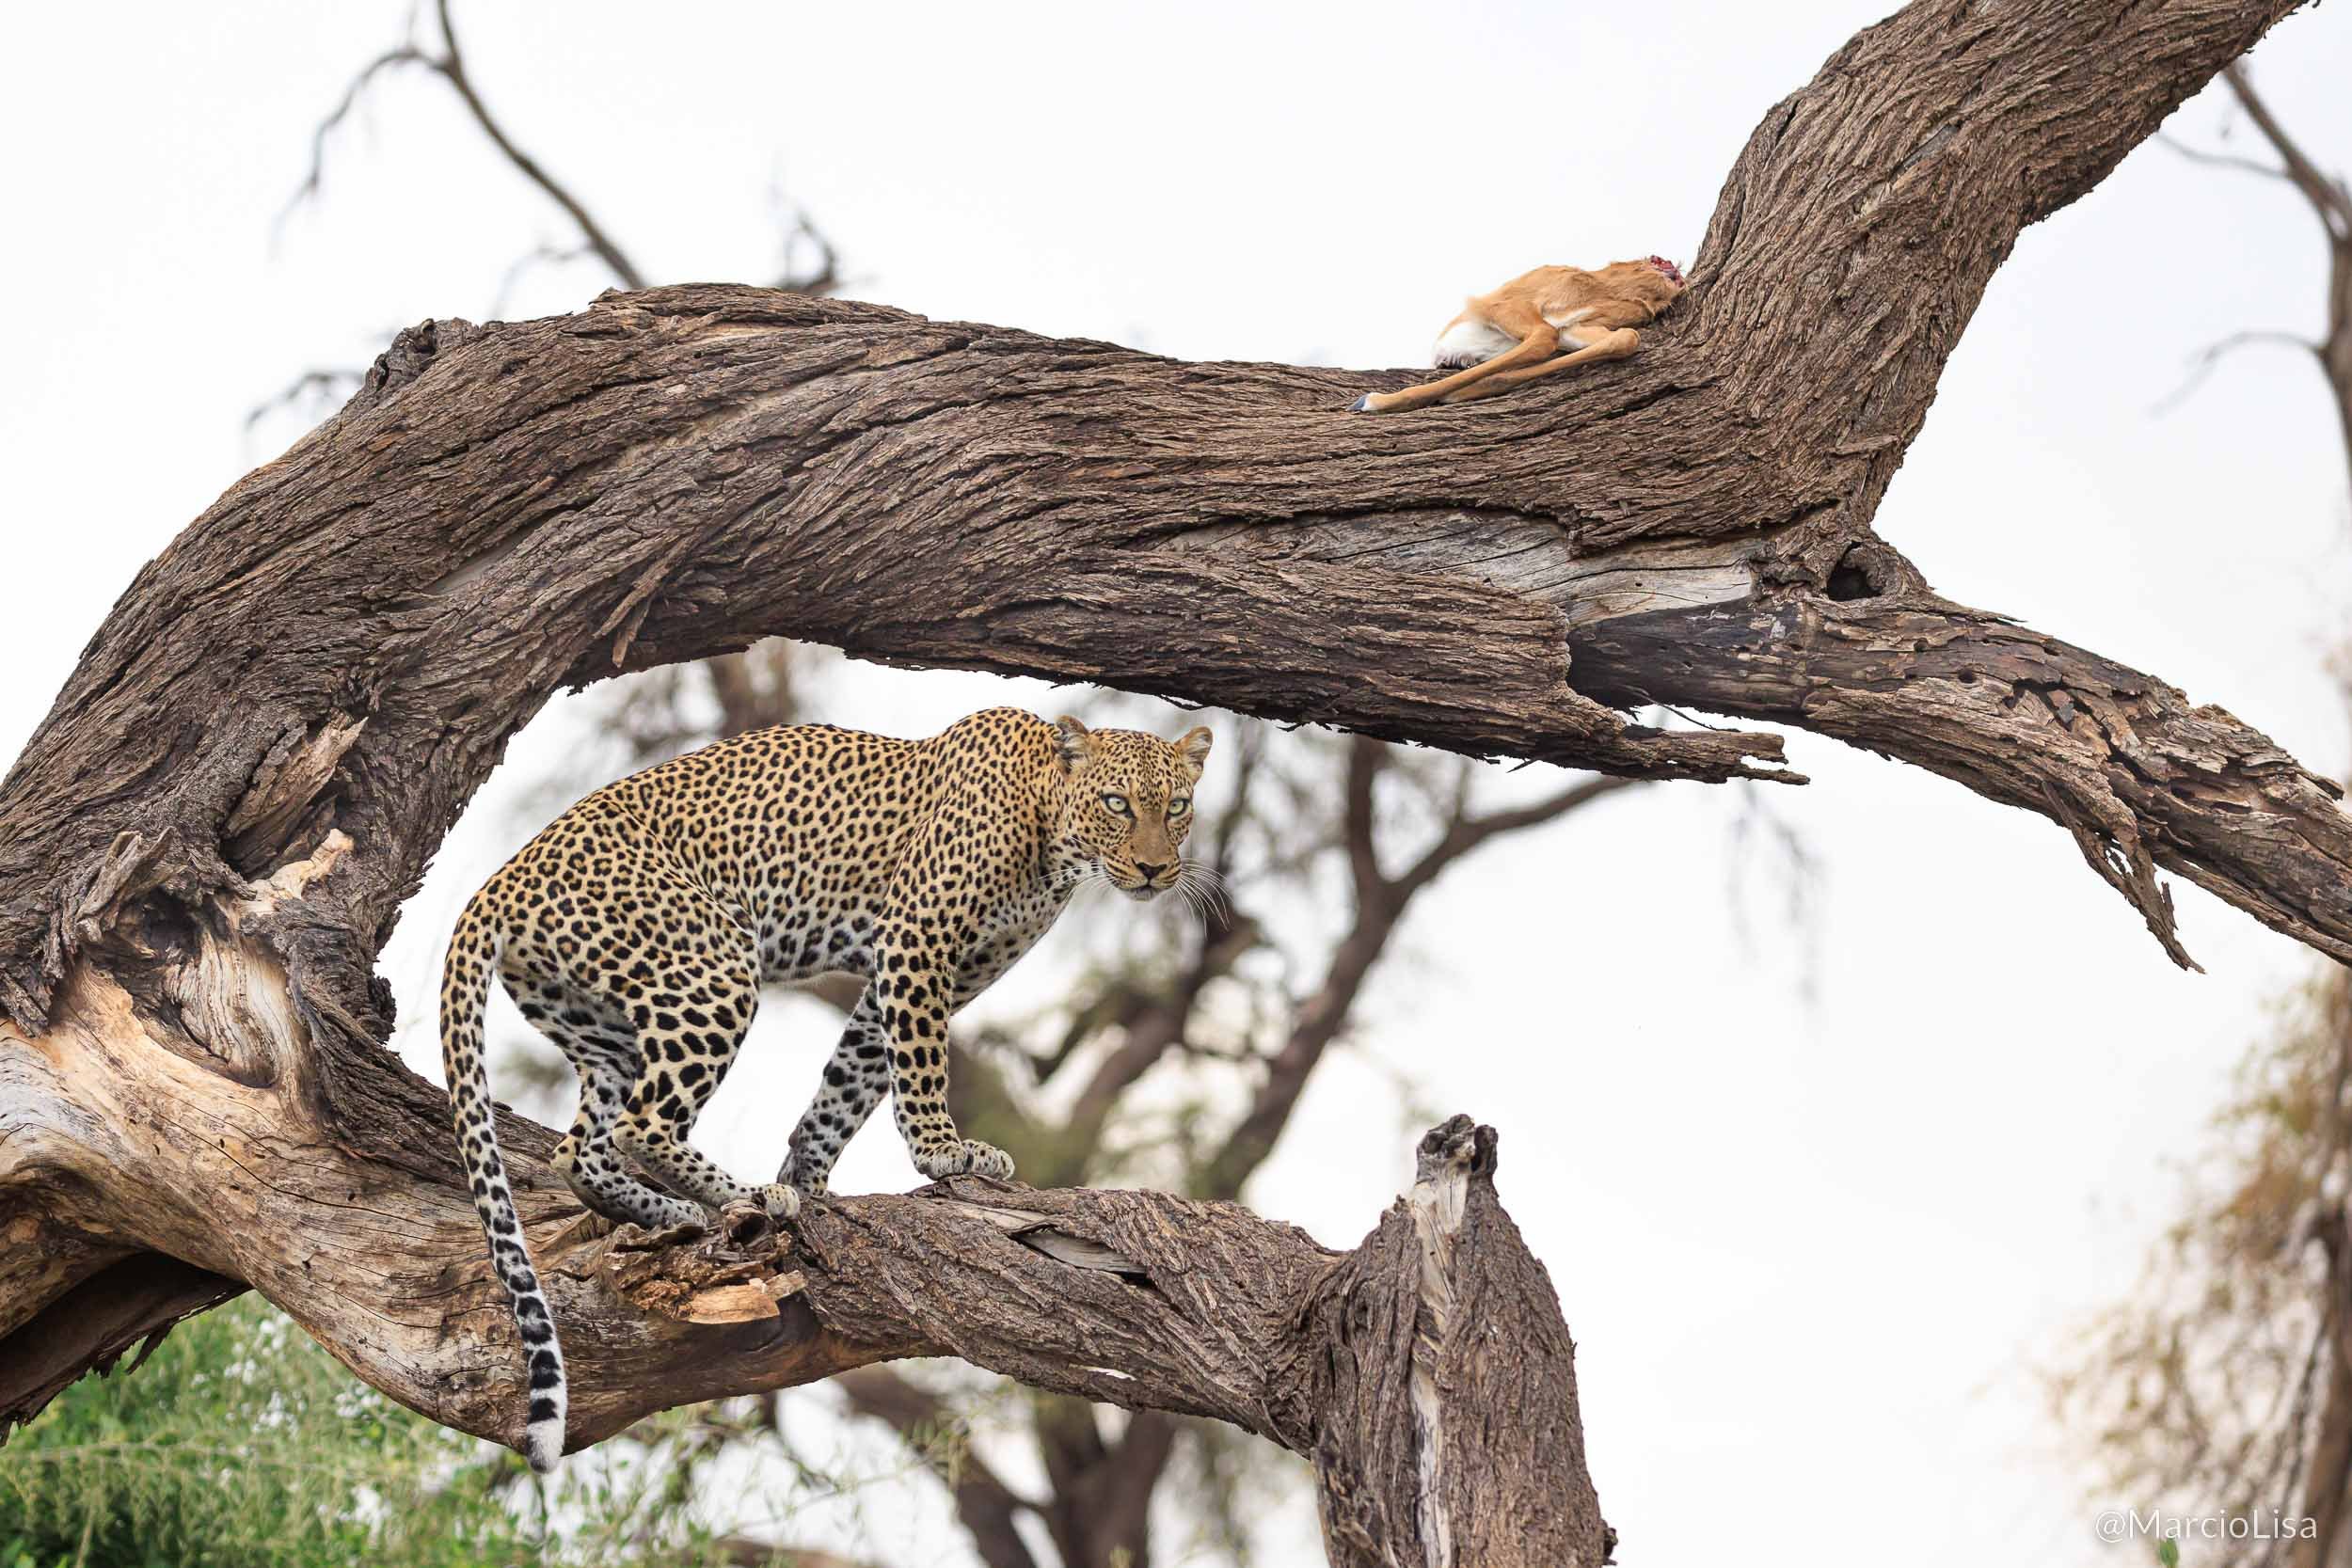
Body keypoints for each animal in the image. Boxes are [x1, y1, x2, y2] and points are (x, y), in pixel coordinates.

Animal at [442, 709, 1214, 1476]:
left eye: (1177, 806)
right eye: (1117, 803)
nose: (1155, 869)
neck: (1053, 838)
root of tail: (497, 882)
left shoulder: (916, 975)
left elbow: (849, 1082)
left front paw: (812, 1180)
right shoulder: (916, 941)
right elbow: (920, 1061)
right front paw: (943, 1151)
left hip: (606, 1032)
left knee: (581, 1150)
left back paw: (674, 1212)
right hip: (715, 968)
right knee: (644, 1124)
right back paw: (750, 1197)